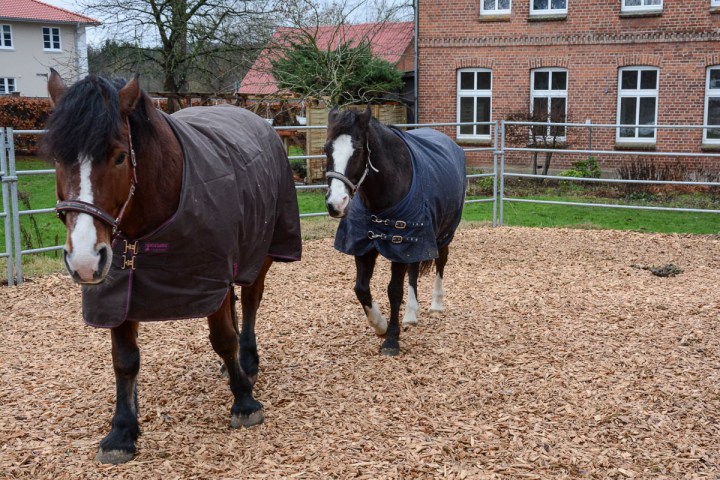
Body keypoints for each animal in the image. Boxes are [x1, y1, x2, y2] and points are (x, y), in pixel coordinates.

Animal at [41, 69, 302, 464]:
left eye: (120, 157)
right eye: (57, 157)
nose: (85, 260)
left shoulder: (209, 275)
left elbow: (222, 338)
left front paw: (244, 401)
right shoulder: (121, 291)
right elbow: (124, 359)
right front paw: (122, 431)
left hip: (263, 251)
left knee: (251, 300)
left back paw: (248, 361)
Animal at [324, 106, 466, 356]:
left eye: (357, 151)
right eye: (326, 149)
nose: (335, 204)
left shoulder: (400, 244)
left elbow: (394, 290)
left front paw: (391, 339)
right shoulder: (365, 245)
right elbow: (361, 288)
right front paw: (379, 325)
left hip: (443, 233)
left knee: (441, 261)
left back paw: (436, 304)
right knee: (414, 269)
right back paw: (410, 314)